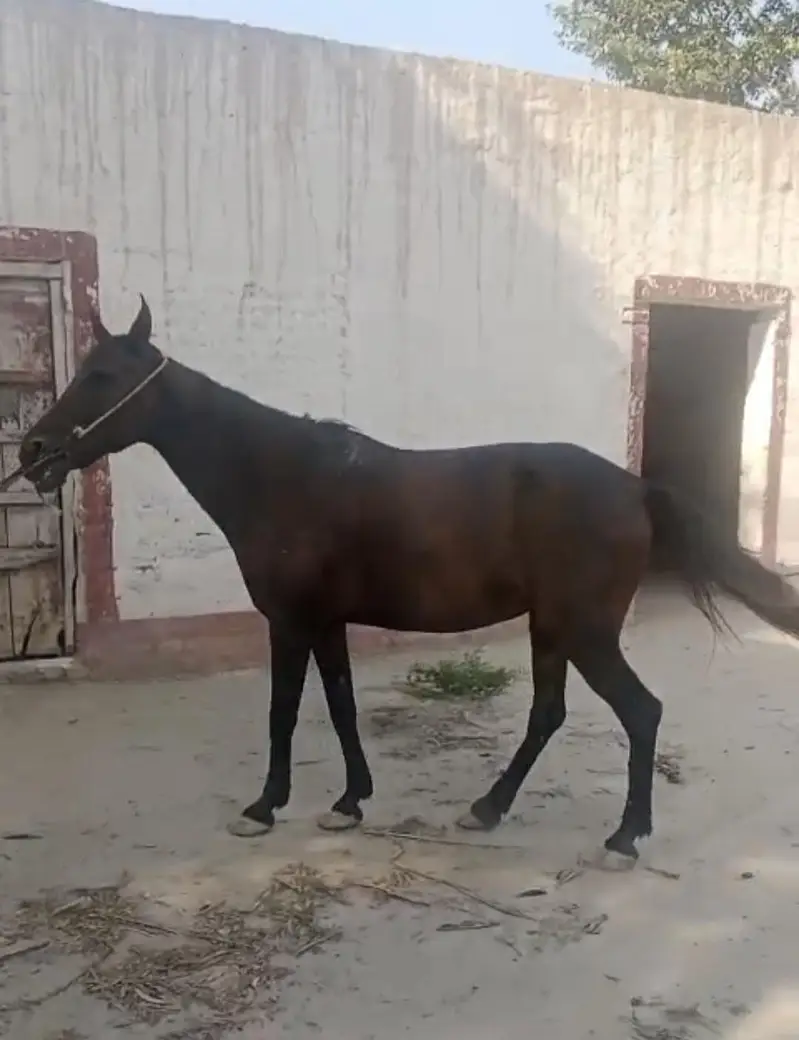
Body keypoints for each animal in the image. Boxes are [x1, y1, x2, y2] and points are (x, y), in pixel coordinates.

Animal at [18, 295, 799, 862]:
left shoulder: (290, 621)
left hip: (583, 630)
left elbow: (282, 712)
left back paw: (622, 838)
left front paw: (264, 807)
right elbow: (340, 706)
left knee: (640, 712)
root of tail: (635, 487)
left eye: (102, 377)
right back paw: (488, 809)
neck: (281, 476)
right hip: (550, 627)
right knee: (548, 715)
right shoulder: (327, 622)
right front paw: (349, 802)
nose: (32, 452)